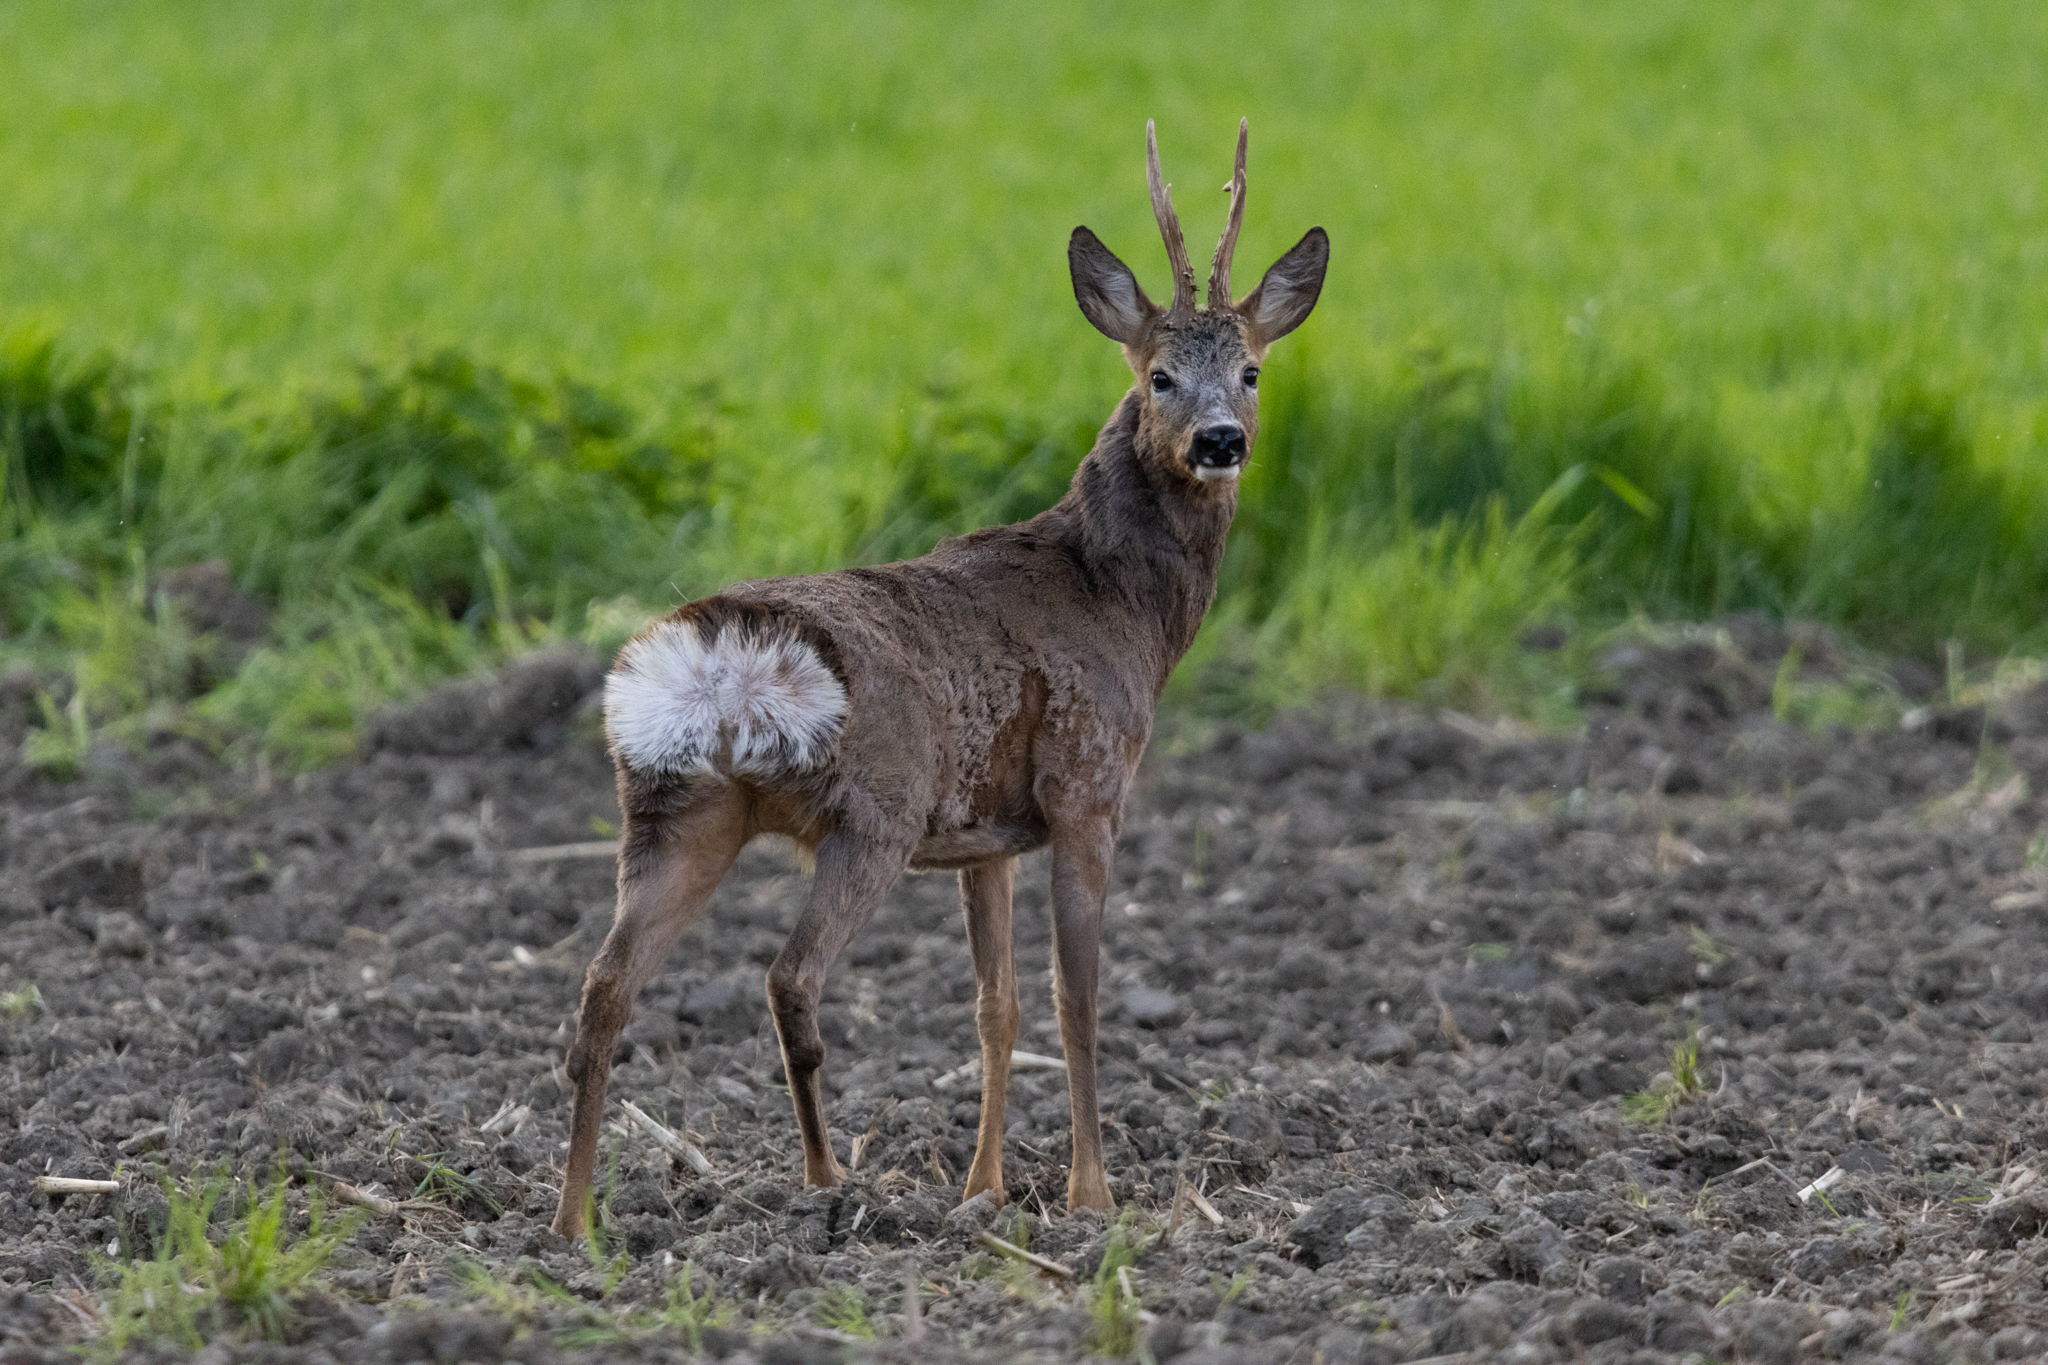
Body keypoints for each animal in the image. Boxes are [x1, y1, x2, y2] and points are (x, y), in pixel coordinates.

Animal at [552, 120, 1335, 1236]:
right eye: (1158, 376)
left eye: (1253, 371)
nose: (1219, 440)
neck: (1119, 601)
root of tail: (715, 660)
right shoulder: (1089, 787)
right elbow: (1074, 998)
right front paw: (1089, 1196)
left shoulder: (984, 836)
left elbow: (994, 1007)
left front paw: (983, 1190)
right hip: (871, 810)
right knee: (788, 978)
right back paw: (825, 1182)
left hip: (674, 810)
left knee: (602, 989)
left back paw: (573, 1220)